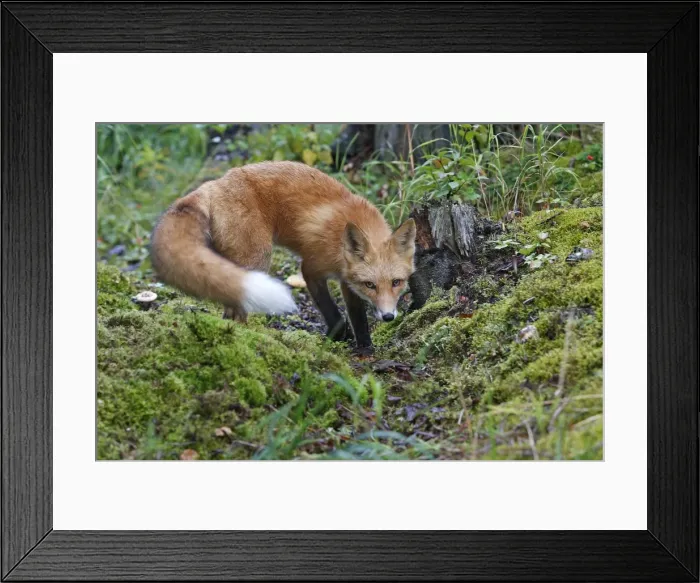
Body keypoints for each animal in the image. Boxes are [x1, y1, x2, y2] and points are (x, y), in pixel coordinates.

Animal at [150, 161, 416, 348]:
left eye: (397, 282)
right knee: (235, 310)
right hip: (257, 260)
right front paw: (339, 335)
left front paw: (365, 347)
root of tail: (213, 184)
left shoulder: (347, 279)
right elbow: (332, 311)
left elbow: (357, 315)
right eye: (371, 285)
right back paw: (247, 339)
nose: (389, 317)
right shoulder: (311, 268)